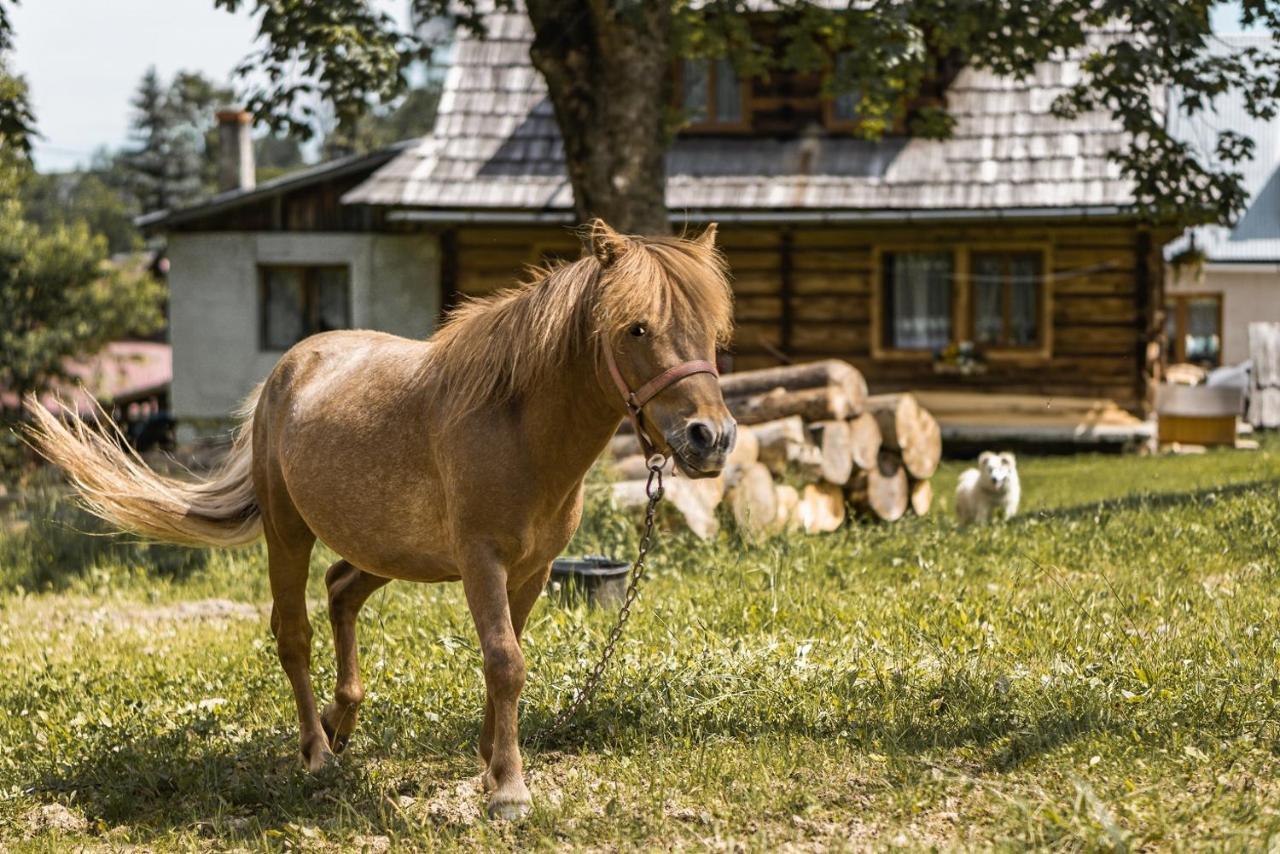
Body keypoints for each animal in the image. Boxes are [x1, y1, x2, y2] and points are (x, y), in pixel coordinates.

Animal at [24, 220, 737, 819]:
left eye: (713, 331)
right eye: (636, 328)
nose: (711, 438)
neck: (516, 424)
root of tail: (285, 372)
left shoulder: (531, 570)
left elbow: (508, 658)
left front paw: (488, 763)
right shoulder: (481, 561)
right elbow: (505, 660)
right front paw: (508, 789)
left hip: (385, 551)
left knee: (341, 592)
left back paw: (341, 722)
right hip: (289, 534)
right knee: (294, 633)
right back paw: (317, 752)